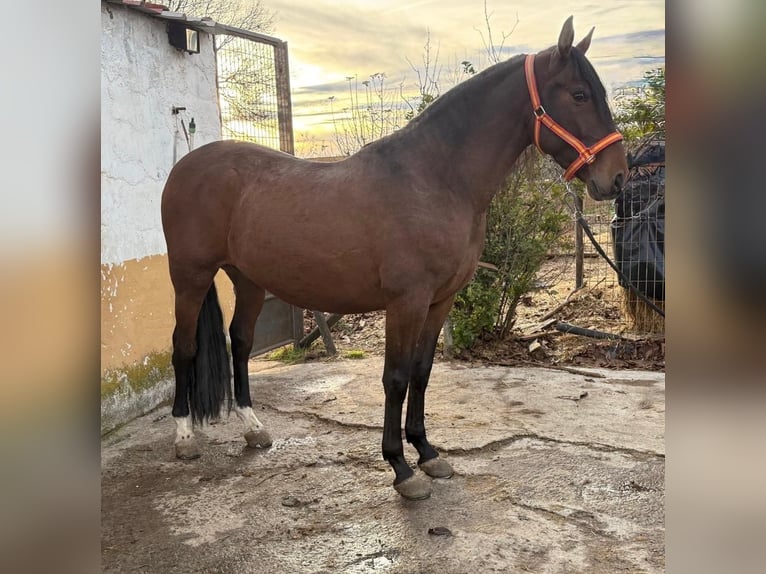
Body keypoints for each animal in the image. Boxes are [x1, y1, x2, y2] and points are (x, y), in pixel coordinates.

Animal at [161, 16, 627, 500]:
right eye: (579, 94)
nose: (618, 176)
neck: (435, 179)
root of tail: (187, 164)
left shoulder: (440, 301)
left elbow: (421, 372)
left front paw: (427, 452)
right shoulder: (406, 302)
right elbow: (396, 378)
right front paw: (401, 468)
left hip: (248, 279)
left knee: (240, 343)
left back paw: (253, 428)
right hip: (190, 276)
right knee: (184, 346)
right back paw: (184, 437)